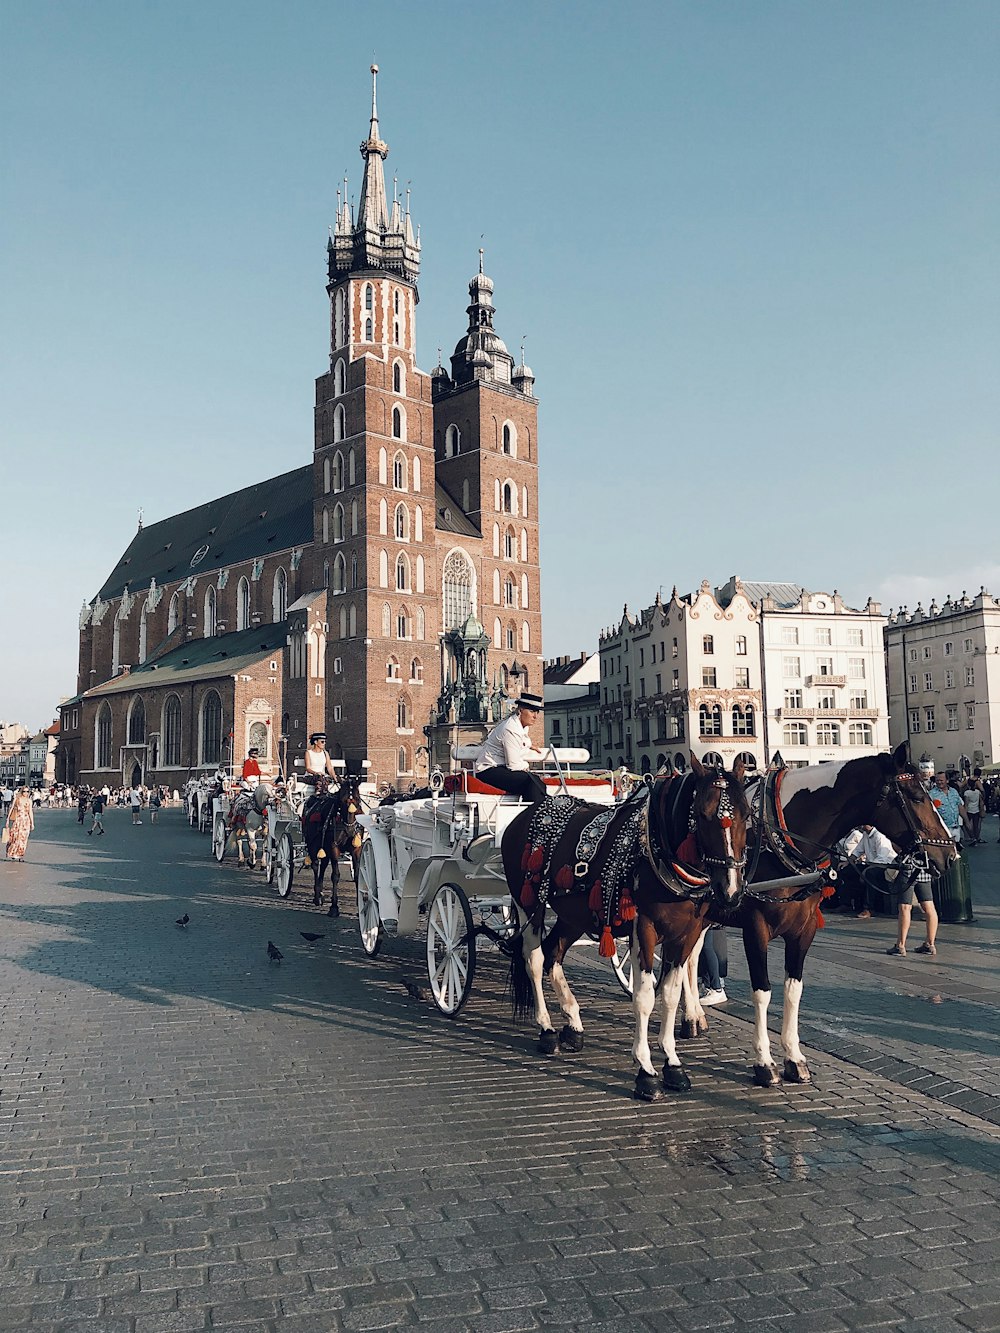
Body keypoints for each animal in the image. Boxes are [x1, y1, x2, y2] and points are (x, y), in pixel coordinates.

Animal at [501, 757, 752, 1098]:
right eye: (702, 814)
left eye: (747, 815)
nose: (731, 891)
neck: (657, 847)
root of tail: (524, 815)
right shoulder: (644, 928)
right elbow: (645, 997)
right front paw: (645, 1070)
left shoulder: (685, 934)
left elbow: (670, 994)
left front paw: (673, 1064)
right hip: (528, 903)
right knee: (535, 959)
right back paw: (547, 1030)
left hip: (572, 914)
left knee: (554, 954)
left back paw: (573, 1025)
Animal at [688, 746, 965, 1087]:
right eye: (915, 796)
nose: (950, 855)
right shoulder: (755, 930)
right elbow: (763, 992)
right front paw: (764, 1063)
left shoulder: (804, 930)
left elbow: (793, 990)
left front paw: (794, 1059)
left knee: (689, 960)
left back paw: (692, 1017)